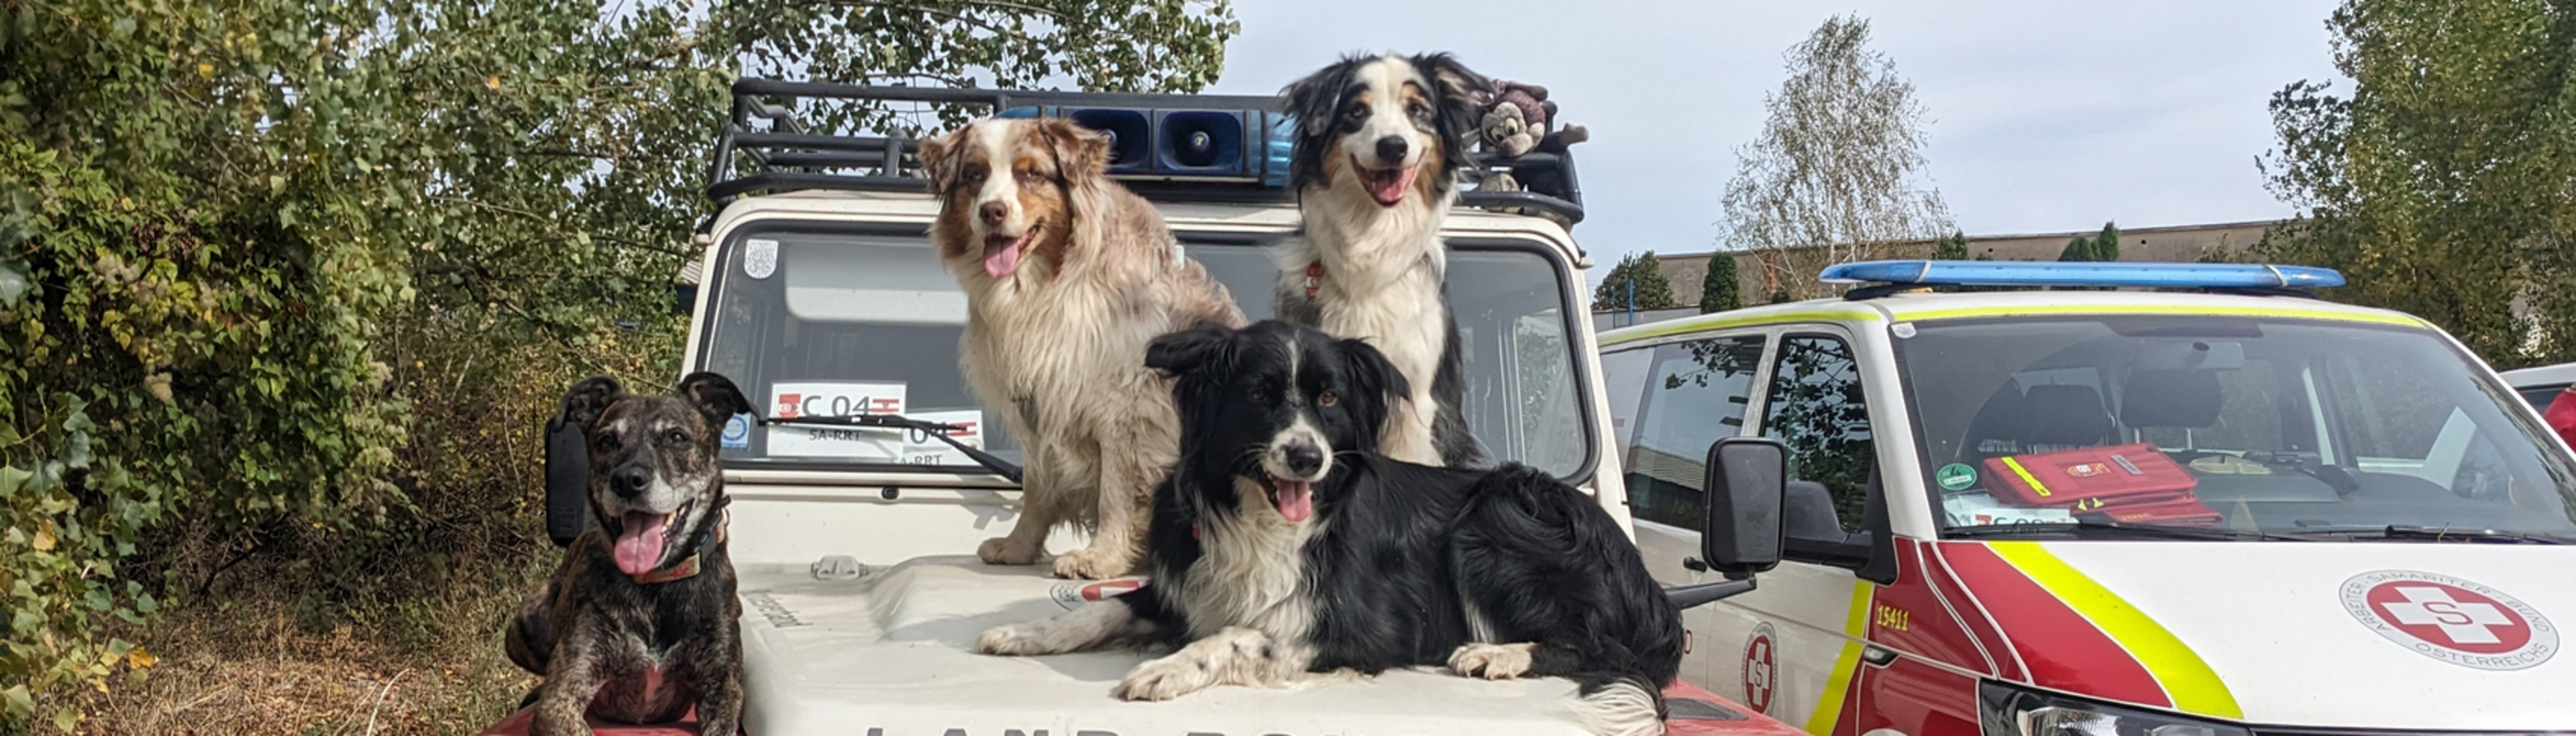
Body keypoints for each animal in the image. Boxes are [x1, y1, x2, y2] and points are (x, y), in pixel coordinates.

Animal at [502, 373, 747, 736]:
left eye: (676, 437)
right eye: (606, 441)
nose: (628, 480)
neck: (657, 584)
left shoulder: (723, 688)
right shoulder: (561, 696)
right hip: (524, 622)